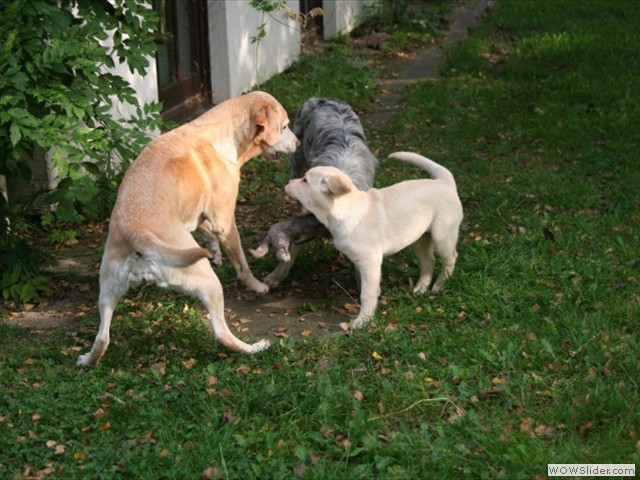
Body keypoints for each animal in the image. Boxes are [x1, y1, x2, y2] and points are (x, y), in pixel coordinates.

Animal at [78, 91, 300, 368]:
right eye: (285, 126)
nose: (299, 143)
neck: (221, 134)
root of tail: (136, 231)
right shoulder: (225, 222)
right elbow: (242, 264)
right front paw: (257, 285)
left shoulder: (200, 215)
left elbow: (206, 231)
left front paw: (215, 252)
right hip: (208, 283)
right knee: (222, 334)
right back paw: (255, 347)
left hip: (107, 290)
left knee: (102, 338)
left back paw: (86, 360)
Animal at [284, 152, 460, 328]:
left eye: (305, 180)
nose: (287, 183)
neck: (345, 210)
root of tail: (445, 181)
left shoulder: (370, 261)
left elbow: (366, 294)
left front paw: (363, 320)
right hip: (420, 238)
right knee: (429, 261)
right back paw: (420, 289)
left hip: (443, 235)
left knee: (450, 259)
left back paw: (439, 286)